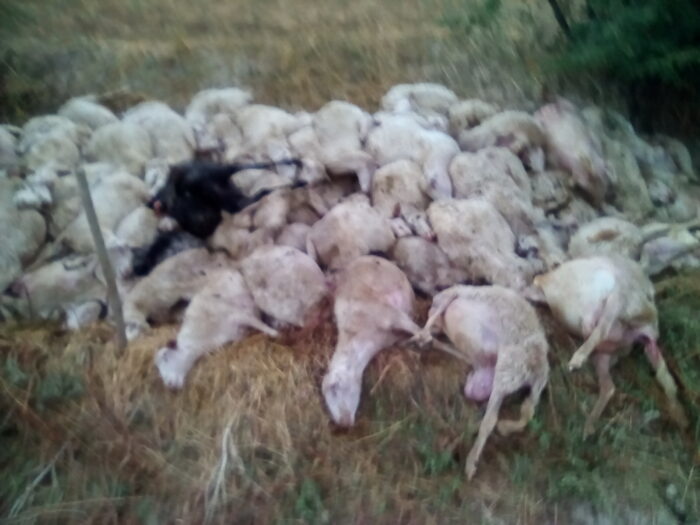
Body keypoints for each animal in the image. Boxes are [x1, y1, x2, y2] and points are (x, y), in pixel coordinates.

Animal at [411, 285, 549, 479]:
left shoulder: (454, 295)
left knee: (491, 419)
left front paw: (421, 335)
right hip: (499, 381)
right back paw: (502, 428)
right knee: (527, 411)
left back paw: (471, 462)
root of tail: (536, 368)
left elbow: (435, 315)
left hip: (507, 367)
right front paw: (428, 339)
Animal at [532, 255, 688, 435]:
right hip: (605, 354)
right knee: (618, 385)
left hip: (619, 304)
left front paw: (577, 358)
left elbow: (600, 328)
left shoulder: (615, 298)